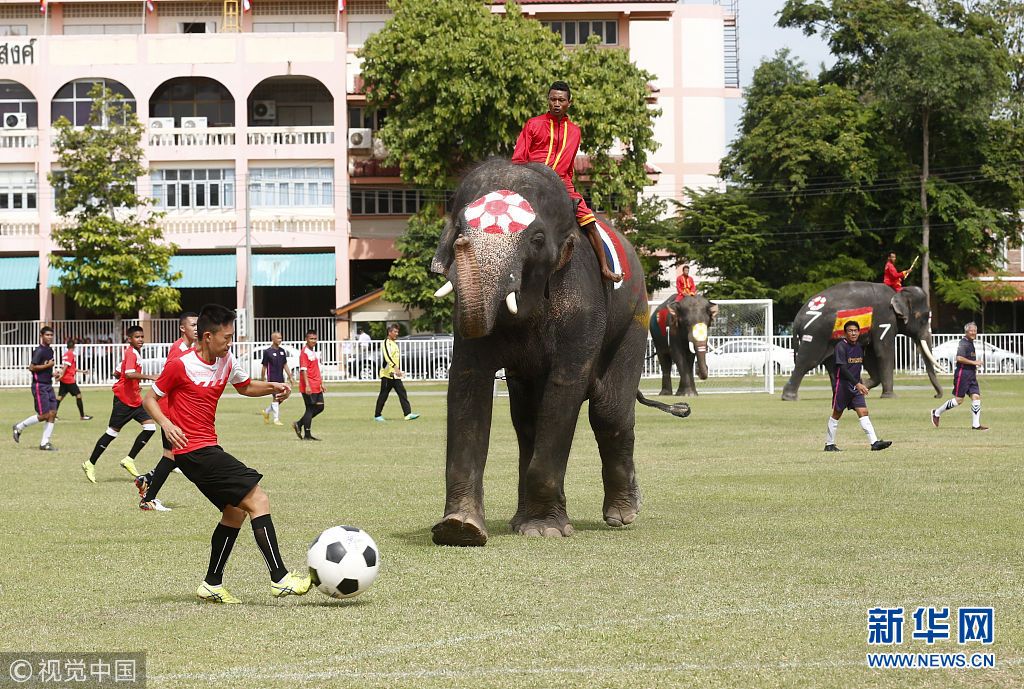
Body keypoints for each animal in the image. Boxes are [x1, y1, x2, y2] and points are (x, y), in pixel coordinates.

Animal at [428, 158, 684, 544]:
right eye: (458, 227)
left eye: (536, 240)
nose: (460, 242)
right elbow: (467, 381)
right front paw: (459, 529)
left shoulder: (583, 303)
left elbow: (565, 387)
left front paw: (545, 531)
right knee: (526, 420)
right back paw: (519, 521)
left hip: (636, 316)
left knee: (609, 411)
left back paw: (623, 514)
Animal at [782, 280, 942, 401]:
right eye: (923, 318)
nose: (936, 396)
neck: (897, 293)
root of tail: (797, 319)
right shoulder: (884, 319)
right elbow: (883, 352)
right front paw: (890, 396)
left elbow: (870, 355)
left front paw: (862, 384)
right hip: (815, 334)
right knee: (808, 361)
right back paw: (790, 397)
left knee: (832, 363)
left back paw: (838, 394)